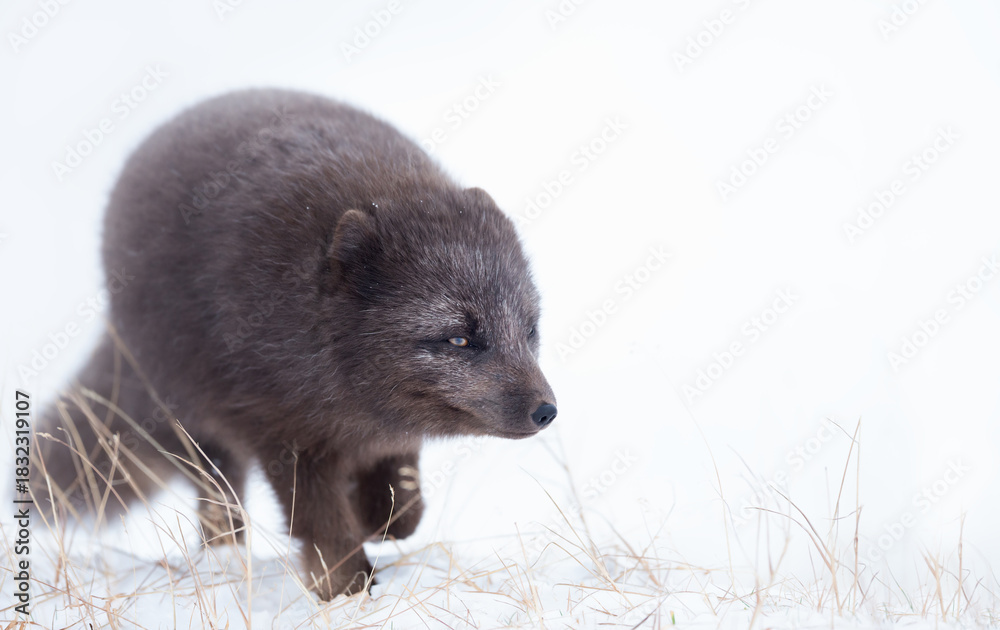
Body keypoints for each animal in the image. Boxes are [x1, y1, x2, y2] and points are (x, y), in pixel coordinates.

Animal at [32, 88, 557, 599]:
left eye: (530, 330)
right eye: (461, 338)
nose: (547, 411)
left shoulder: (385, 434)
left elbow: (402, 509)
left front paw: (374, 522)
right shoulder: (285, 433)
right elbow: (323, 527)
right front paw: (347, 592)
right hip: (194, 423)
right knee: (219, 497)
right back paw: (226, 558)